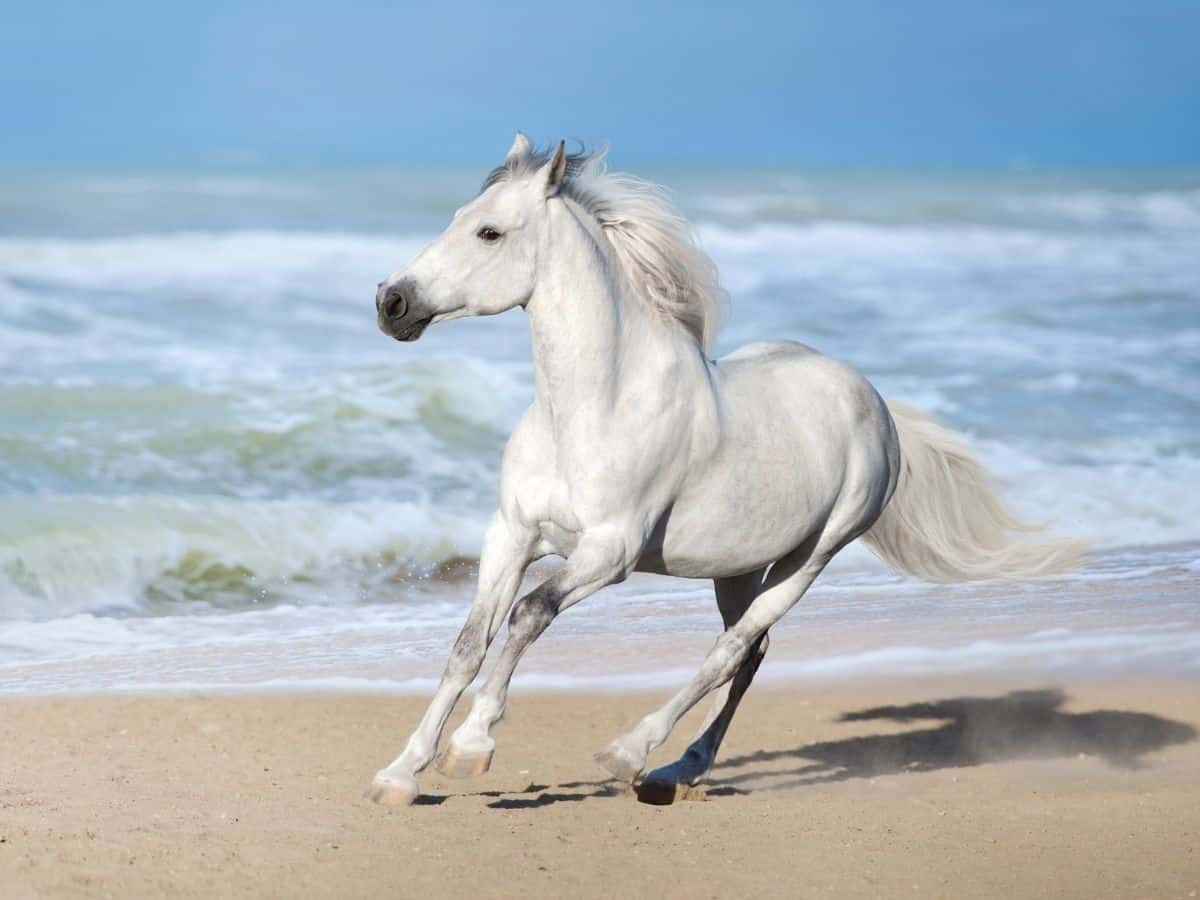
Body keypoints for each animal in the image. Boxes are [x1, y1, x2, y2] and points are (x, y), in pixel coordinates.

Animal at [362, 135, 1080, 811]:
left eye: (489, 232)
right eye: (457, 218)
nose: (392, 302)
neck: (594, 408)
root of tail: (875, 403)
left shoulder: (609, 552)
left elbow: (529, 615)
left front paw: (471, 748)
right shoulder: (512, 534)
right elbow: (468, 644)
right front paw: (399, 775)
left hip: (813, 555)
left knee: (732, 649)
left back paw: (635, 754)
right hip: (736, 565)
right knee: (751, 651)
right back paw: (679, 769)